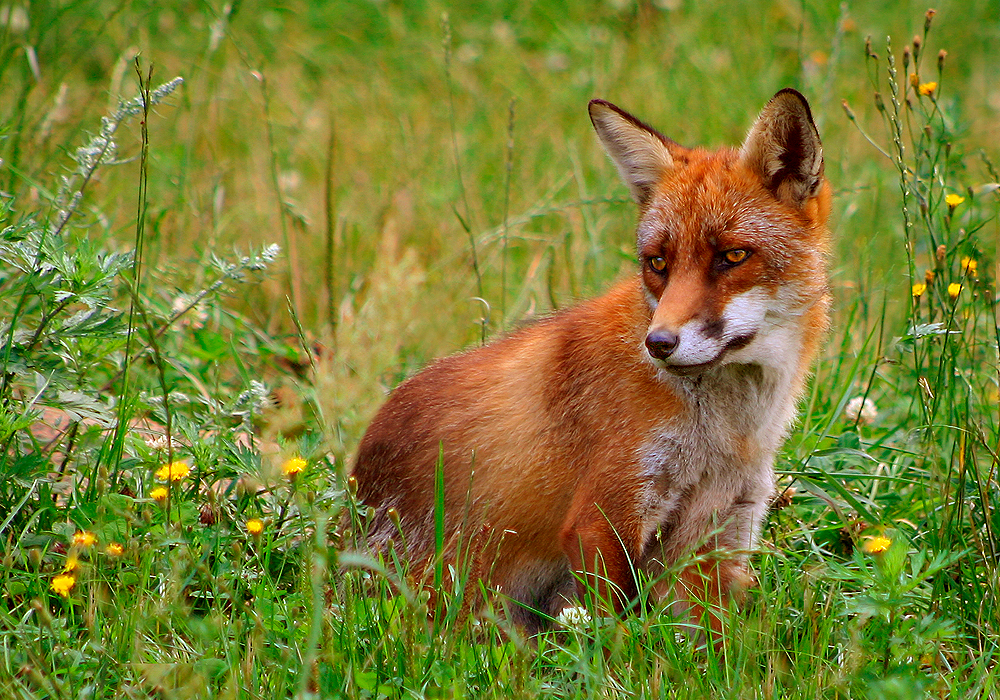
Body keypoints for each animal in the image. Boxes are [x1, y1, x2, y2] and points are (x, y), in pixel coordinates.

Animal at [350, 88, 831, 636]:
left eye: (732, 257)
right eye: (658, 263)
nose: (658, 343)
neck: (725, 432)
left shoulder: (719, 529)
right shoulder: (604, 514)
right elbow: (613, 634)